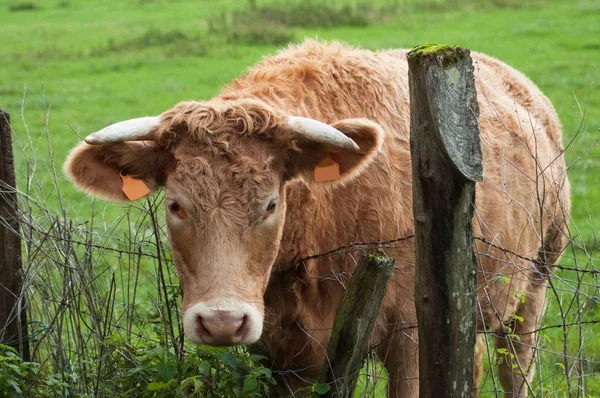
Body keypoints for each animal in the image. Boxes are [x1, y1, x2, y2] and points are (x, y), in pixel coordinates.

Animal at [63, 39, 568, 394]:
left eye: (270, 204)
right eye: (175, 205)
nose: (222, 321)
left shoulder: (410, 339)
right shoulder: (281, 356)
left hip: (534, 288)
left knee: (515, 368)